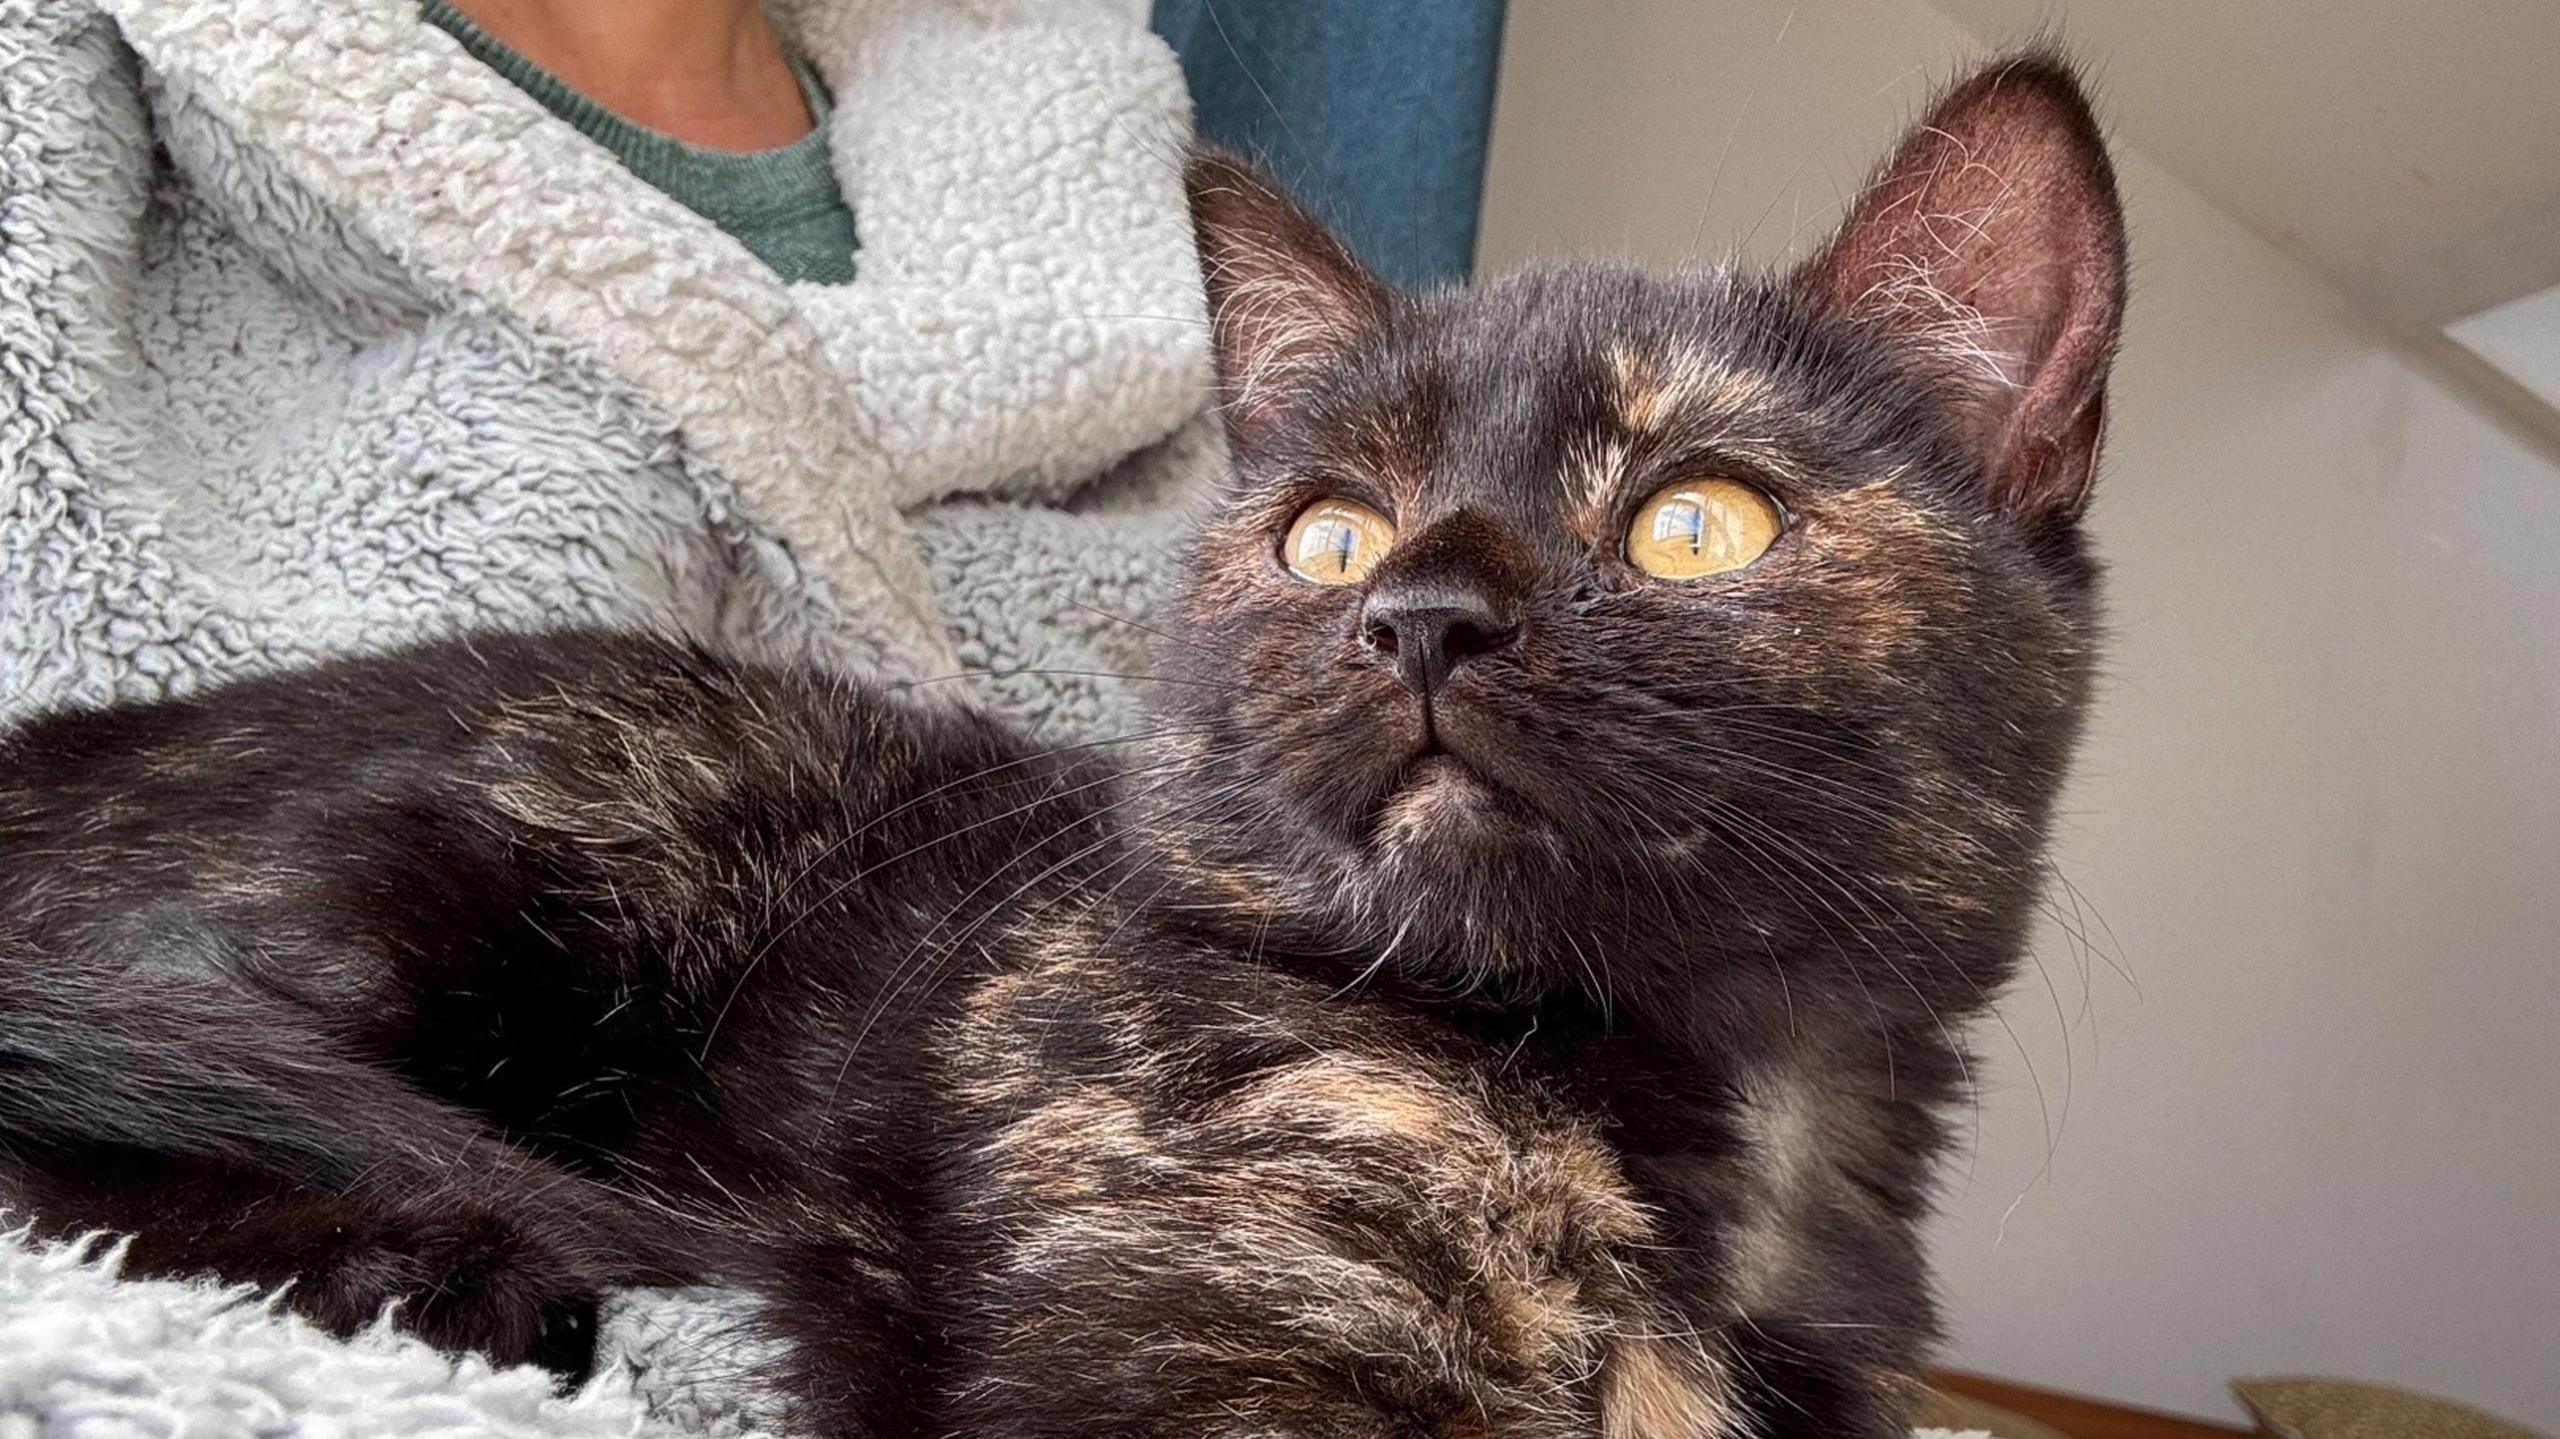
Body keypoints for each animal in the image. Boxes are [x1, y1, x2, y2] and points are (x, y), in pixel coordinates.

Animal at [0, 56, 2119, 1433]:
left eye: (1696, 521)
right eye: (1329, 532)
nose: (1420, 614)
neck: (1715, 1118)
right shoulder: (1196, 1342)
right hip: (470, 844)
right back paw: (428, 1268)